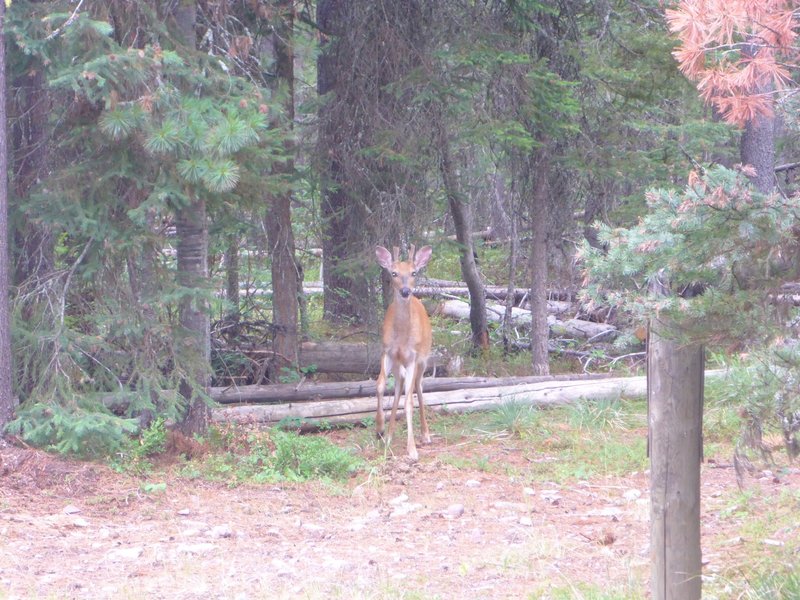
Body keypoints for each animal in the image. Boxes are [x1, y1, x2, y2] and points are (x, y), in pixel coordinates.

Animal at [374, 243, 432, 460]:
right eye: (394, 273)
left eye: (414, 272)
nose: (406, 291)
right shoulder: (387, 352)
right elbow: (380, 385)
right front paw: (380, 428)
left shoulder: (412, 357)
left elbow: (408, 402)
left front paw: (412, 449)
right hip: (399, 365)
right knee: (399, 386)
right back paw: (388, 436)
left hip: (423, 359)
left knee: (418, 387)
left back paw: (425, 434)